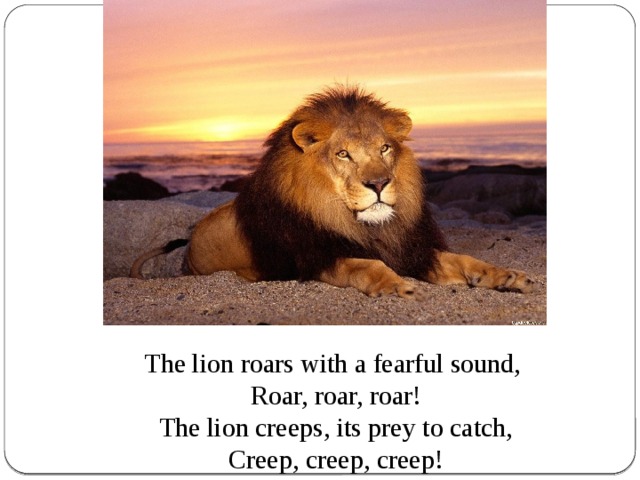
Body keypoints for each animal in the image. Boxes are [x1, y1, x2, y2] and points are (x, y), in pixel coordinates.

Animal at [130, 86, 534, 298]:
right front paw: (396, 285)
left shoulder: (412, 249)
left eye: (384, 149)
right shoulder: (316, 256)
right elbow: (366, 264)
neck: (367, 226)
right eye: (343, 154)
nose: (379, 184)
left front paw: (508, 276)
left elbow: (466, 259)